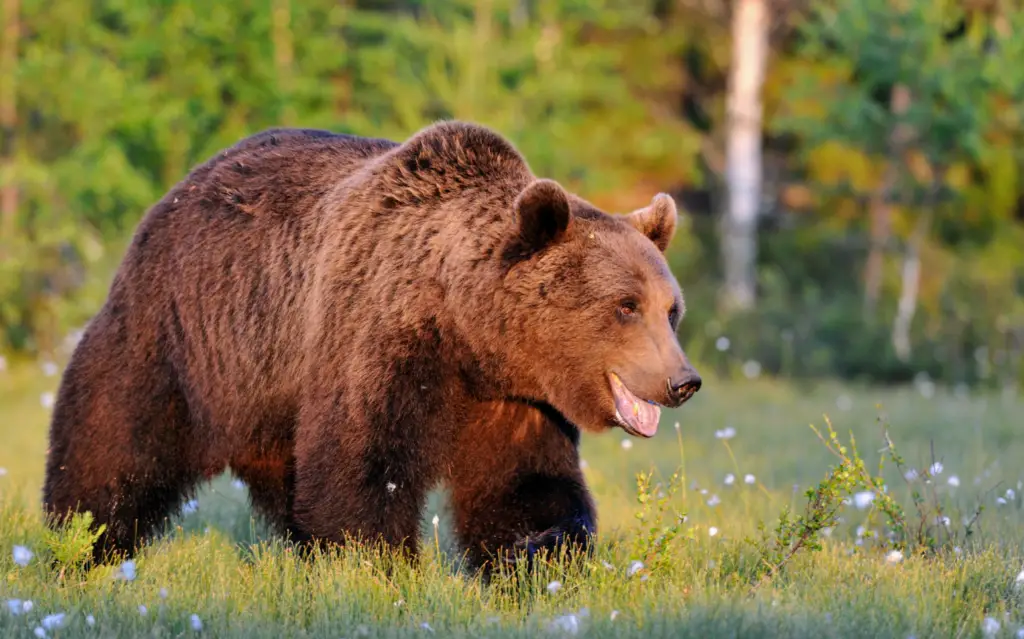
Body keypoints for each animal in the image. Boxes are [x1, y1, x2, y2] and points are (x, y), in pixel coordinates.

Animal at [46, 119, 704, 569]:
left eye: (671, 310)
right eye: (625, 306)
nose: (683, 381)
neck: (467, 331)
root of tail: (177, 191)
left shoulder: (516, 397)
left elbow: (526, 484)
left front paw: (537, 554)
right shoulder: (379, 336)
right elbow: (362, 467)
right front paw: (376, 565)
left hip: (269, 392)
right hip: (180, 337)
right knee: (112, 442)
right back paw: (78, 543)